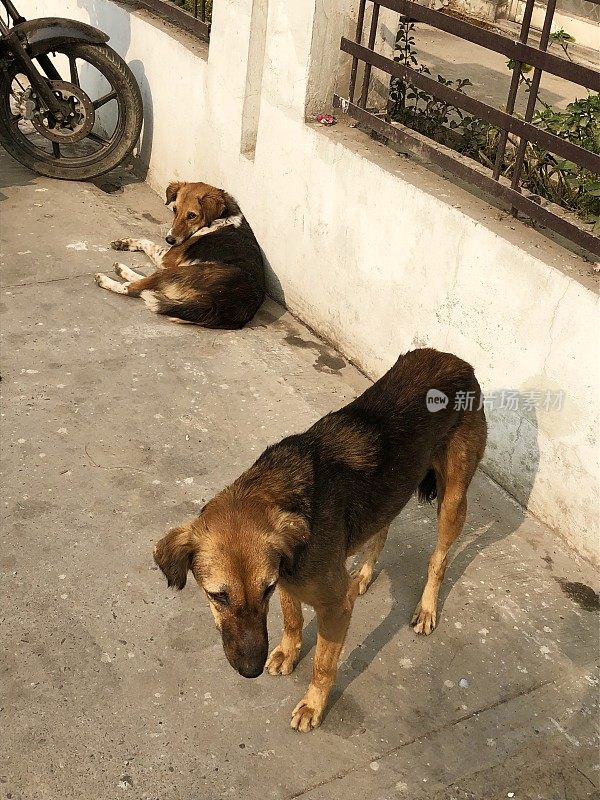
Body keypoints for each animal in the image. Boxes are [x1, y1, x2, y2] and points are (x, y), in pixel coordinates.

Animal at [154, 348, 488, 732]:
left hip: (453, 501)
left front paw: (313, 704)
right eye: (217, 596)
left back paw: (427, 608)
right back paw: (363, 574)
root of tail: (458, 360)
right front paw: (288, 652)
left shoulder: (333, 605)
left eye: (265, 590)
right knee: (382, 528)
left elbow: (324, 664)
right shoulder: (287, 575)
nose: (250, 672)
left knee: (439, 558)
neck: (276, 489)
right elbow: (292, 618)